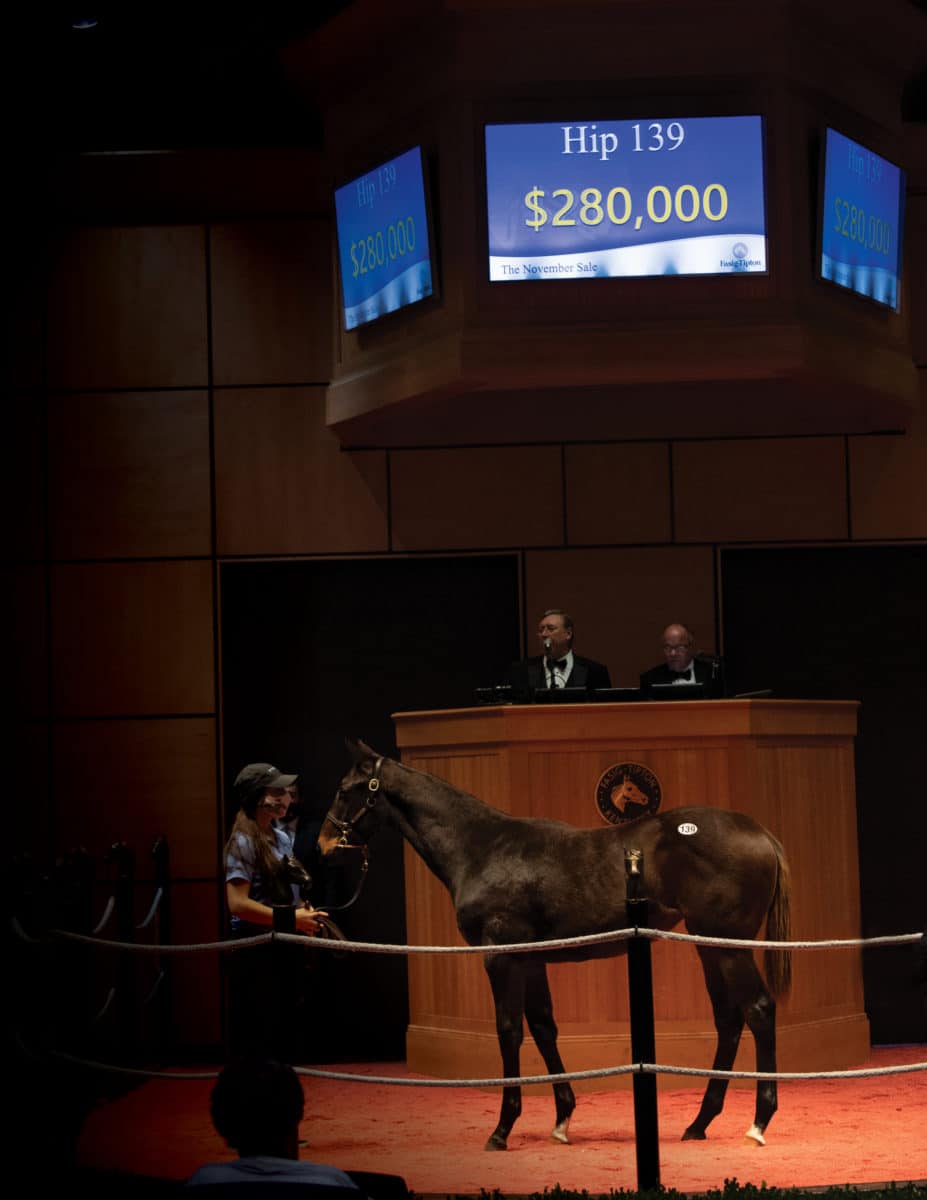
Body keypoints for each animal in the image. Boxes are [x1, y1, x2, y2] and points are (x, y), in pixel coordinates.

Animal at [319, 739, 787, 1152]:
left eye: (344, 790)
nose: (323, 845)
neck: (483, 849)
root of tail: (762, 834)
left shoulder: (501, 956)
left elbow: (509, 1030)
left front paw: (502, 1129)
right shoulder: (531, 959)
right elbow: (544, 1026)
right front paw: (561, 1121)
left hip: (729, 947)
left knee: (758, 1010)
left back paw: (758, 1124)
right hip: (710, 945)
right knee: (729, 1019)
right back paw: (699, 1123)